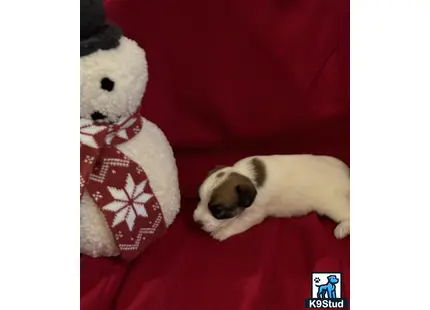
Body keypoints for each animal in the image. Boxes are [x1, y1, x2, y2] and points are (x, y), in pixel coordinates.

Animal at [194, 155, 350, 242]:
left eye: (218, 210)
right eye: (199, 199)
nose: (197, 222)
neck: (246, 176)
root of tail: (346, 175)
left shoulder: (254, 214)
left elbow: (237, 223)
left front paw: (222, 232)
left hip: (331, 204)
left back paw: (342, 228)